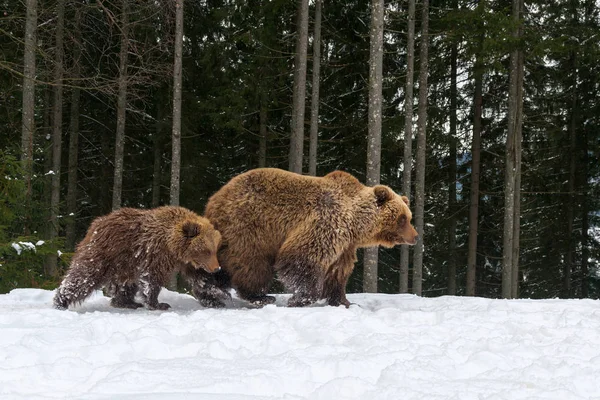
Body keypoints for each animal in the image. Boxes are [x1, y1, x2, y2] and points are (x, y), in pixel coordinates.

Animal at [199, 167, 414, 308]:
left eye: (409, 217)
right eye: (403, 218)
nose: (415, 236)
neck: (355, 224)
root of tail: (213, 200)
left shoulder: (346, 245)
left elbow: (338, 271)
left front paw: (344, 301)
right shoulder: (326, 221)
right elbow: (303, 258)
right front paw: (300, 298)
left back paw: (211, 294)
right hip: (248, 228)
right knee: (250, 263)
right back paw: (260, 296)